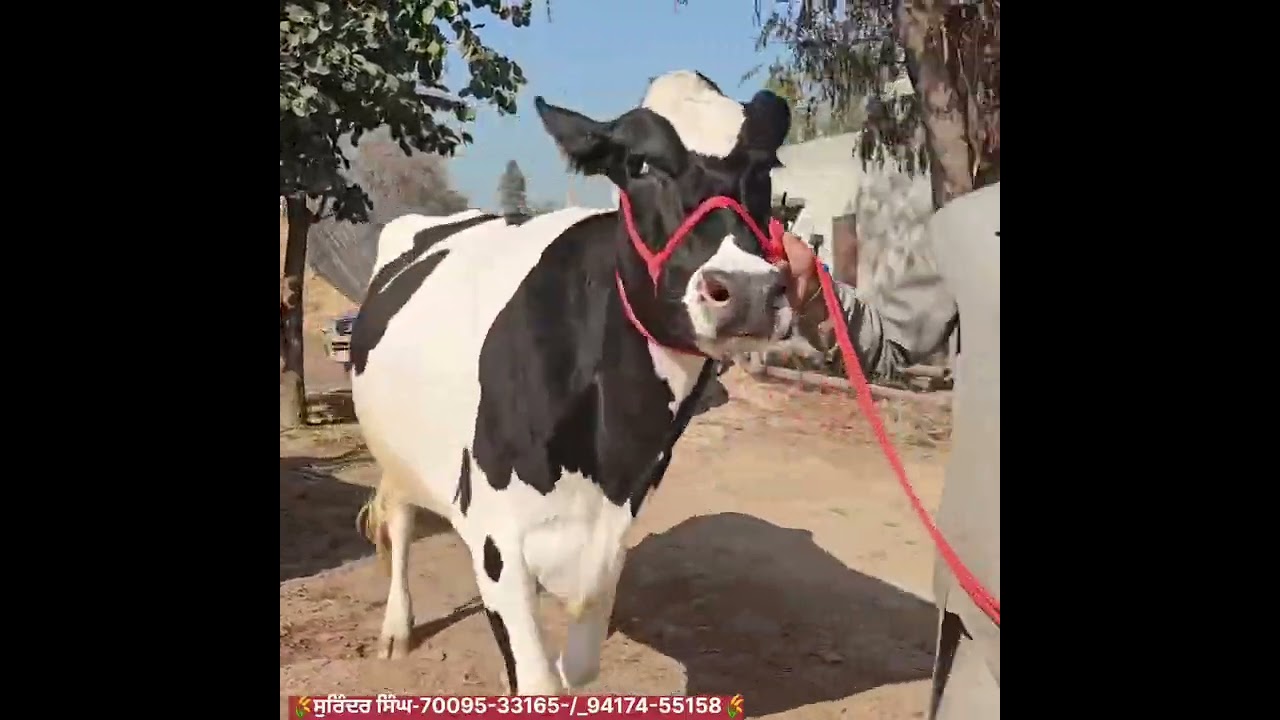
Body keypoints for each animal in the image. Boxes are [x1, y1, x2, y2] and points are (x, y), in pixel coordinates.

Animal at [350, 70, 792, 695]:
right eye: (638, 164)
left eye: (767, 164)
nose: (749, 290)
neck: (608, 453)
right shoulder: (497, 540)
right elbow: (539, 681)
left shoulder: (611, 537)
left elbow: (577, 669)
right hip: (397, 450)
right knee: (402, 518)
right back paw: (396, 627)